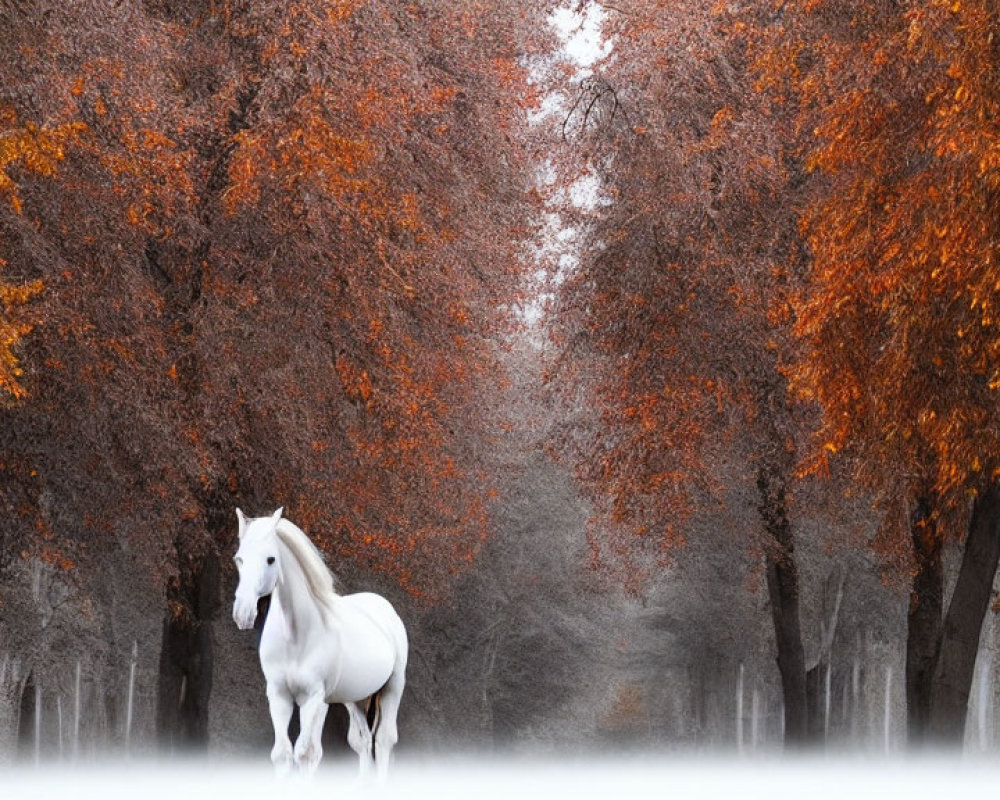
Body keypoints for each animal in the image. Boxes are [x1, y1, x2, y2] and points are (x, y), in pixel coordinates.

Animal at [232, 510, 408, 780]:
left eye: (271, 559)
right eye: (239, 559)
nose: (243, 613)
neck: (296, 638)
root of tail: (384, 606)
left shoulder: (313, 697)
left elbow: (305, 753)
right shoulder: (278, 695)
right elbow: (282, 754)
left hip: (393, 687)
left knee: (384, 740)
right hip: (355, 698)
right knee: (363, 741)